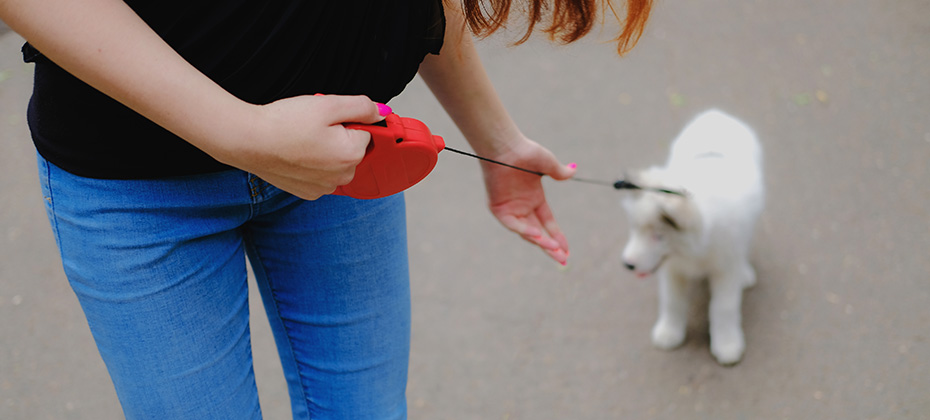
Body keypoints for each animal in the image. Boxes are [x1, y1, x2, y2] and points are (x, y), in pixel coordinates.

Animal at [620, 108, 764, 364]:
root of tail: (717, 113)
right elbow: (672, 302)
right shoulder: (673, 270)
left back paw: (745, 273)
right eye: (634, 229)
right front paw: (669, 333)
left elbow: (723, 308)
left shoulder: (725, 269)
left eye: (659, 236)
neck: (696, 251)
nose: (627, 264)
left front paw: (727, 344)